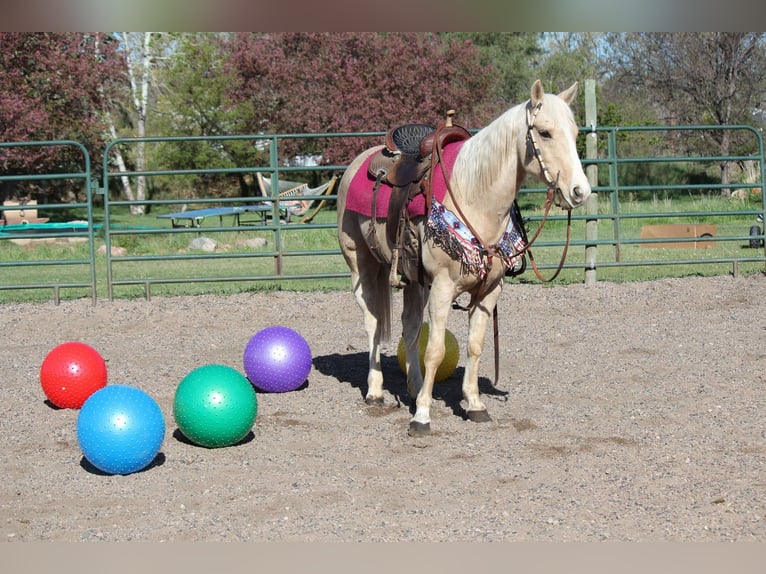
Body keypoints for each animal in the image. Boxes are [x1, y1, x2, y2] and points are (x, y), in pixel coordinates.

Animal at [337, 80, 591, 436]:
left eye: (575, 132)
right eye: (544, 132)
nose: (581, 191)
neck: (475, 195)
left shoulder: (490, 291)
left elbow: (474, 345)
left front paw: (474, 404)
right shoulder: (443, 288)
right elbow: (435, 350)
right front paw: (422, 416)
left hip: (414, 281)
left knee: (409, 327)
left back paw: (415, 387)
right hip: (362, 265)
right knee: (373, 323)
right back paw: (375, 392)